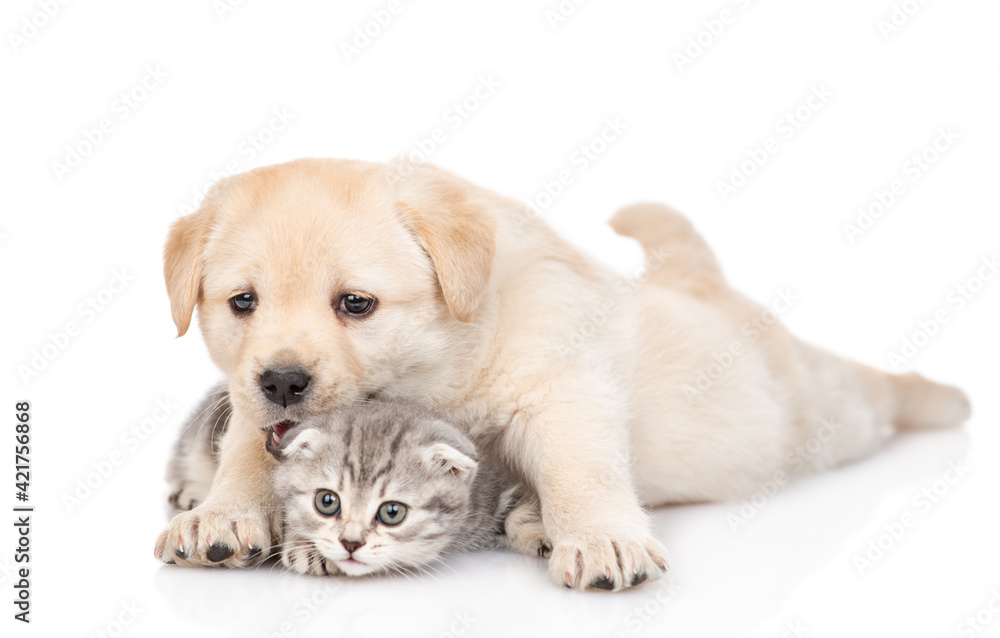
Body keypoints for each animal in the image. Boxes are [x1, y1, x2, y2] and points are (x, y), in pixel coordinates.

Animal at [154, 158, 968, 592]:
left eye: (356, 303)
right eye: (243, 303)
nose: (282, 381)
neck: (450, 360)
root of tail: (699, 280)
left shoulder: (564, 386)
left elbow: (583, 467)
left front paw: (601, 538)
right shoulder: (249, 405)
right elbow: (247, 449)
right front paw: (223, 512)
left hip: (826, 415)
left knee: (879, 393)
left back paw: (946, 399)